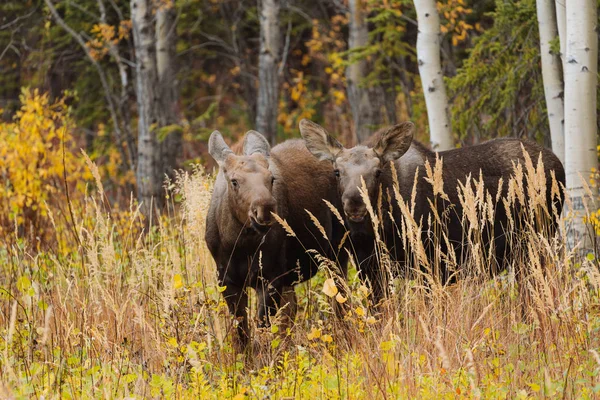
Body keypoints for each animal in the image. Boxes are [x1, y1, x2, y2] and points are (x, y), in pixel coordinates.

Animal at [206, 130, 346, 348]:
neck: (239, 245)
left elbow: (263, 330)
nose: (265, 209)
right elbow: (242, 333)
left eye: (271, 178)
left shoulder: (270, 278)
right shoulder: (226, 280)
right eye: (234, 181)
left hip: (338, 250)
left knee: (341, 297)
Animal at [302, 119, 564, 304]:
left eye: (377, 172)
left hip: (537, 241)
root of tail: (558, 163)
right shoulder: (369, 267)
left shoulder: (430, 263)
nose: (355, 203)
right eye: (337, 172)